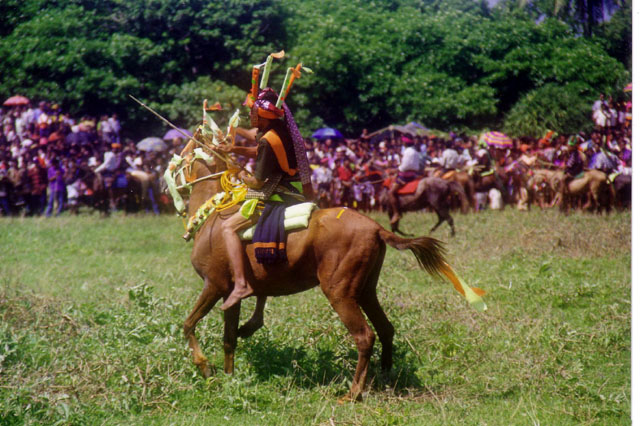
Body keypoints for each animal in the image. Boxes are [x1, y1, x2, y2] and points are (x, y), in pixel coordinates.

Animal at [178, 145, 472, 402]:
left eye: (180, 160)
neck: (215, 218)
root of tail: (376, 228)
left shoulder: (214, 286)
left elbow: (188, 324)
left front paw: (205, 367)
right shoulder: (229, 294)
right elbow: (229, 338)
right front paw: (229, 376)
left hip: (339, 293)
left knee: (365, 336)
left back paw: (354, 392)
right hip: (366, 291)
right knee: (385, 329)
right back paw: (385, 376)